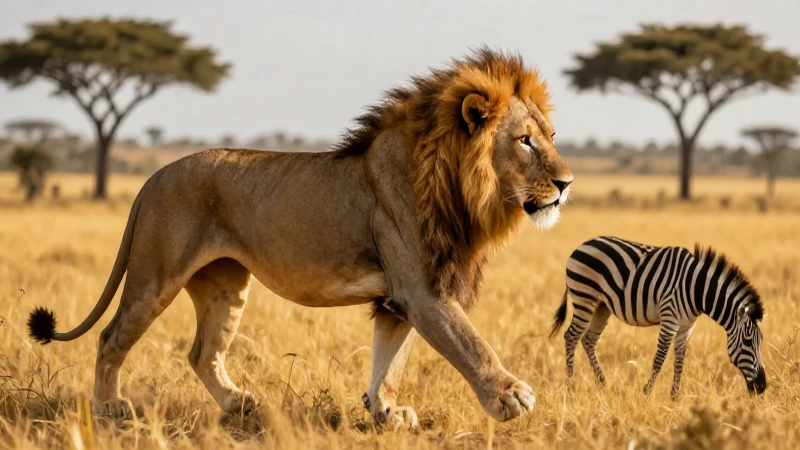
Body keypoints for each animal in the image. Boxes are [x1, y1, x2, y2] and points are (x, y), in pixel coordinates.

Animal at [26, 46, 573, 428]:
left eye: (551, 137)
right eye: (525, 141)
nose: (567, 184)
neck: (461, 190)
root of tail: (153, 177)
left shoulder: (401, 298)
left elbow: (391, 360)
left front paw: (384, 412)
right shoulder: (423, 290)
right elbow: (469, 344)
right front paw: (508, 396)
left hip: (225, 283)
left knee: (202, 353)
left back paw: (239, 405)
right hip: (153, 277)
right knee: (110, 337)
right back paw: (109, 407)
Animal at [550, 235, 766, 399]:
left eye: (760, 342)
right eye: (748, 342)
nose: (763, 387)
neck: (696, 289)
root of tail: (582, 245)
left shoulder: (686, 327)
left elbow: (679, 362)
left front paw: (674, 397)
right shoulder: (670, 319)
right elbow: (660, 358)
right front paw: (647, 392)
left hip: (601, 307)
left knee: (588, 340)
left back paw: (603, 384)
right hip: (584, 299)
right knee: (571, 337)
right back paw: (571, 386)